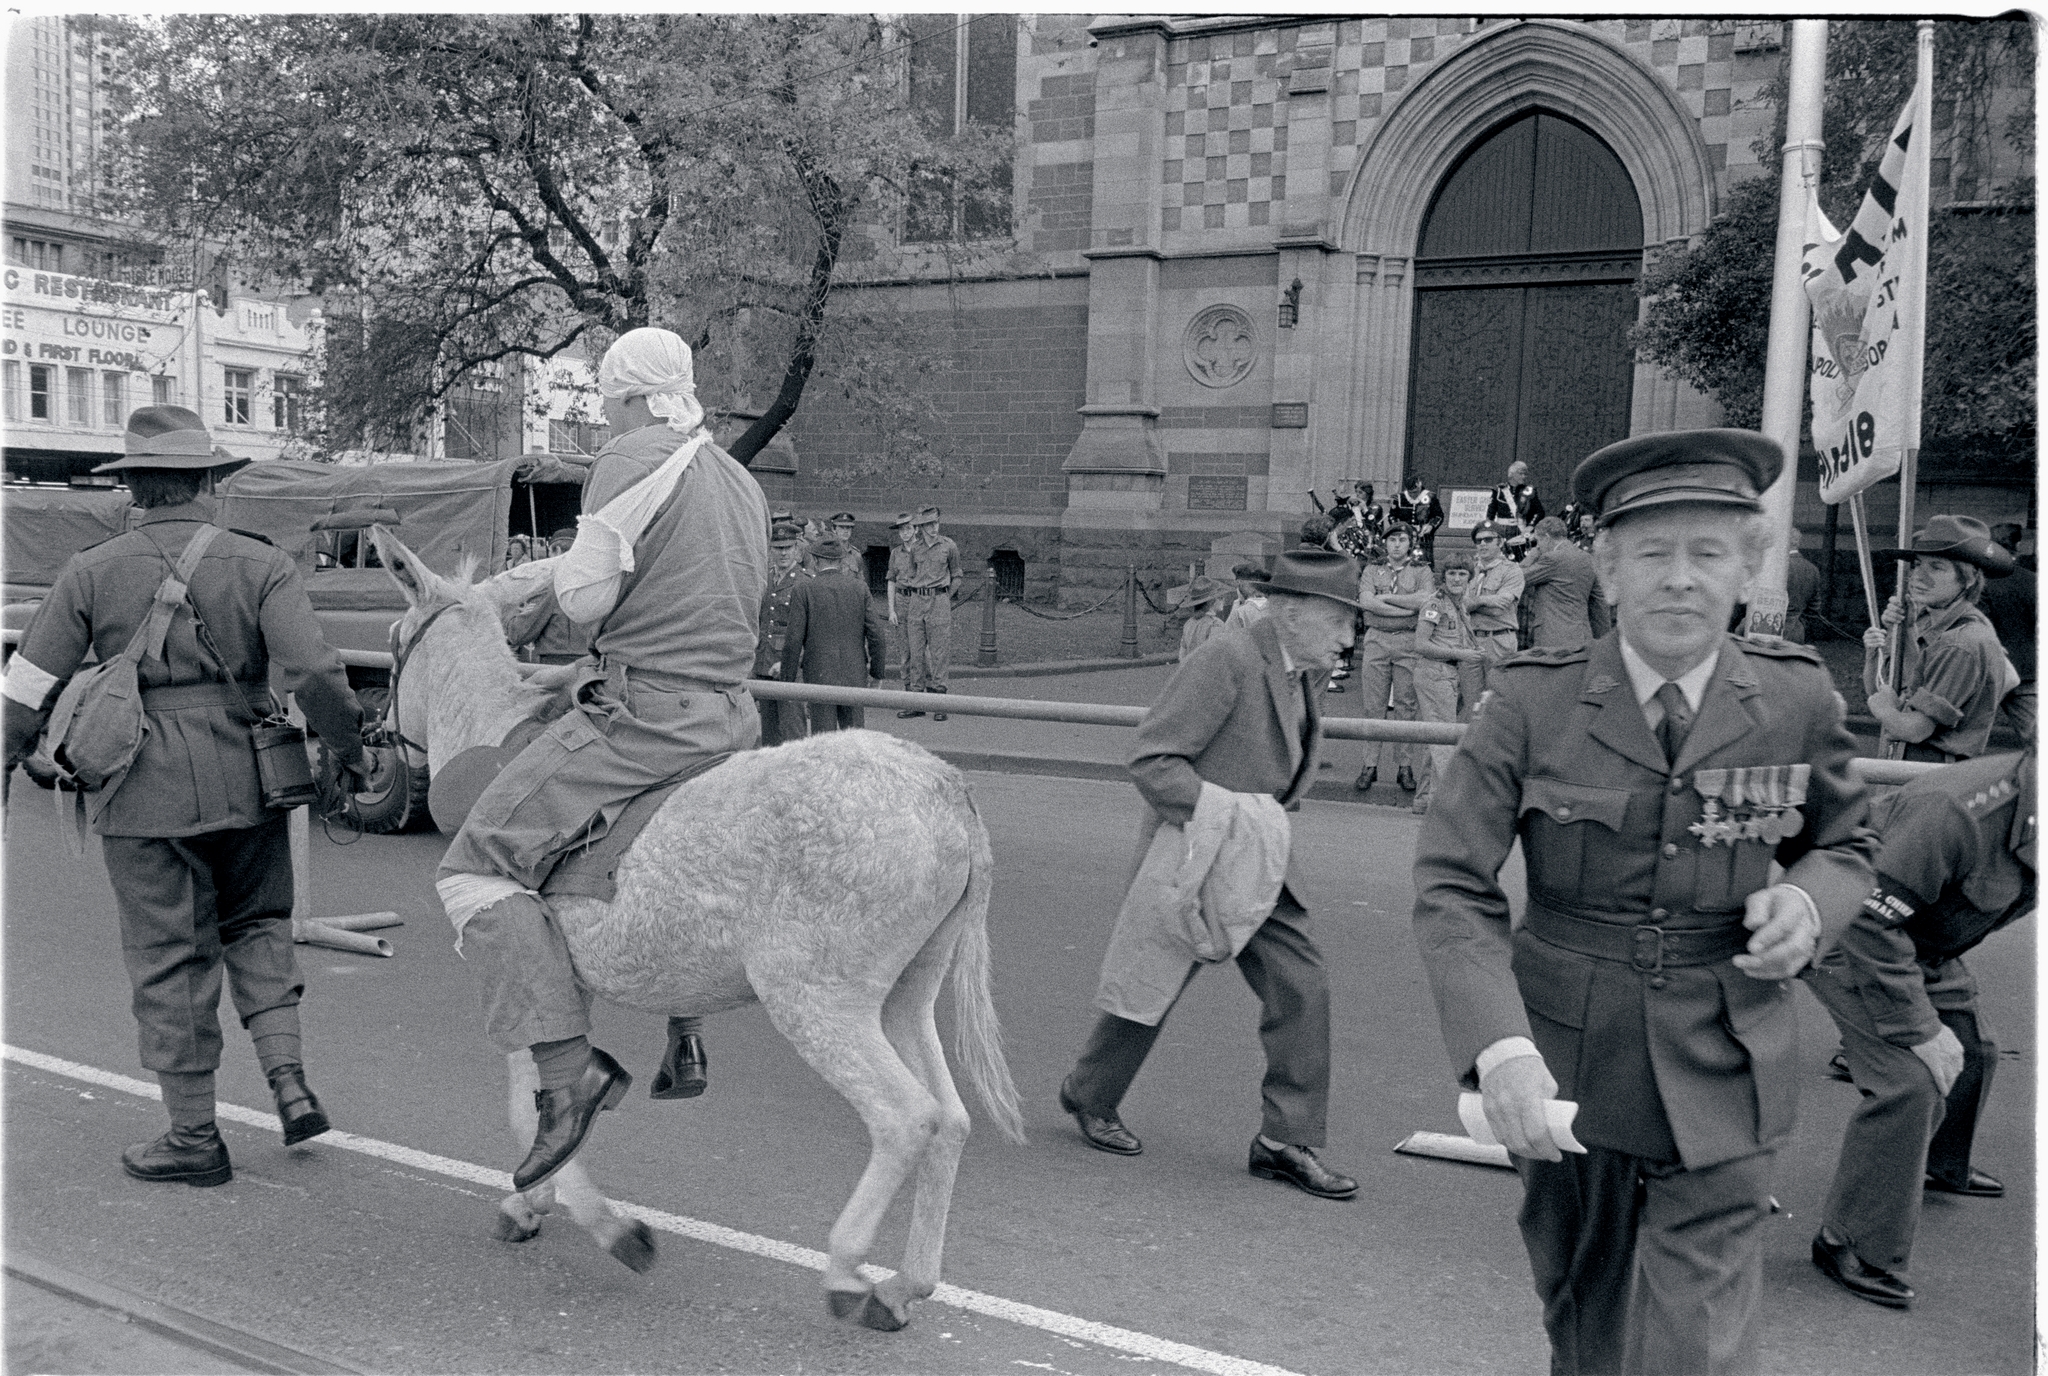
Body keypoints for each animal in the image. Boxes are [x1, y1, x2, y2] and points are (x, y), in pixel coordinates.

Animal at [367, 527, 1024, 1332]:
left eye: (393, 640)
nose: (373, 737)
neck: (497, 749)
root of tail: (946, 792)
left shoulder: (517, 961)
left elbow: (532, 1105)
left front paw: (596, 1220)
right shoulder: (560, 979)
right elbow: (540, 1092)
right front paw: (536, 1197)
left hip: (818, 1000)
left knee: (906, 1119)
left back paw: (846, 1269)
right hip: (906, 995)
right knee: (951, 1120)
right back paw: (906, 1284)